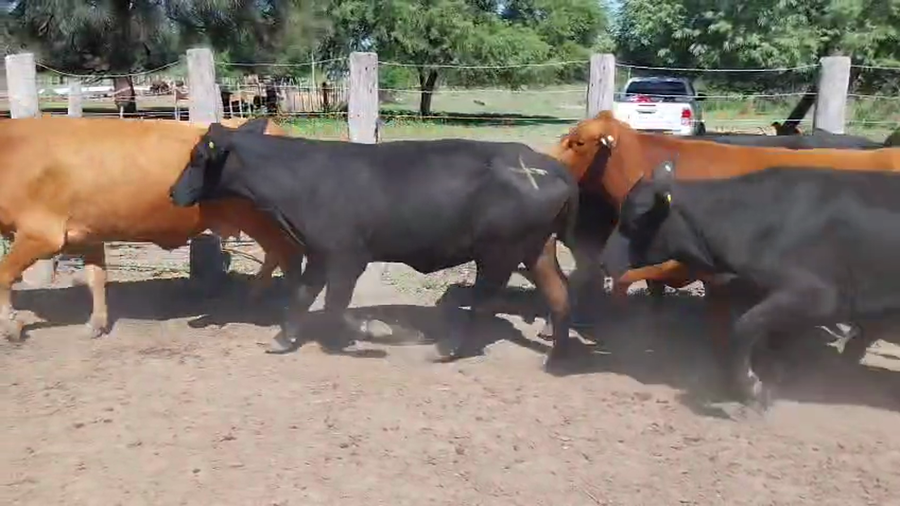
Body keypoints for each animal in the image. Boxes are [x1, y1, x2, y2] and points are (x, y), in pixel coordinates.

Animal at [0, 116, 303, 343]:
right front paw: (95, 324)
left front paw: (11, 327)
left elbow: (3, 275)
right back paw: (255, 295)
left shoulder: (41, 234)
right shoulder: (89, 232)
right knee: (277, 253)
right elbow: (96, 278)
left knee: (288, 254)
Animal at [168, 119, 581, 364]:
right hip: (536, 249)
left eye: (196, 156)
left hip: (499, 253)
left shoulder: (346, 256)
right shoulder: (320, 254)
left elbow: (335, 305)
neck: (302, 177)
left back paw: (447, 347)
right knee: (559, 293)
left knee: (484, 301)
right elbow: (303, 296)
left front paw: (375, 332)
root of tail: (543, 163)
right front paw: (284, 339)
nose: (173, 192)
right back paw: (558, 353)